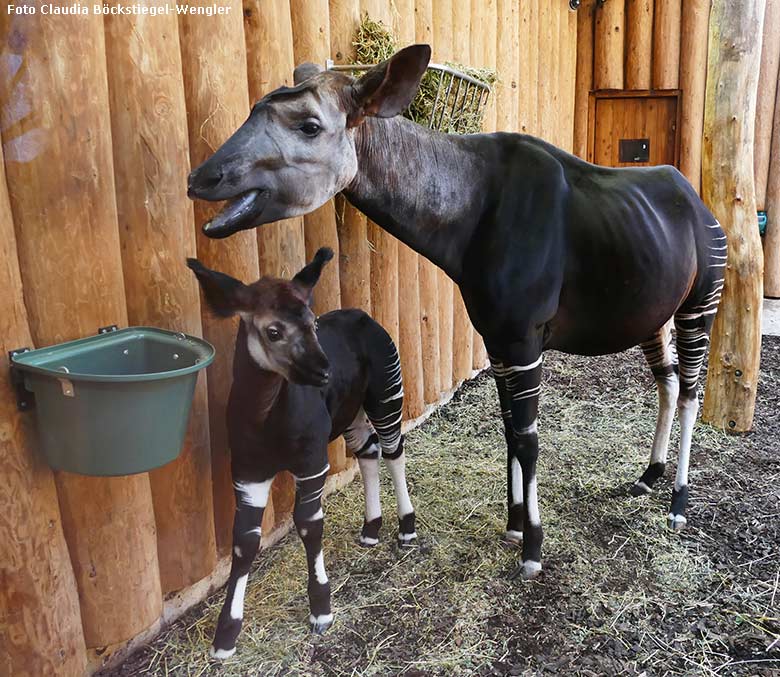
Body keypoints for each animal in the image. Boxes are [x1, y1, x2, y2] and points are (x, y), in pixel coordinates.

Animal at [186, 45, 728, 580]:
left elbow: (528, 439)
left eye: (309, 126)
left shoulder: (524, 340)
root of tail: (699, 202)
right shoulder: (497, 338)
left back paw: (678, 503)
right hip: (654, 312)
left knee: (691, 392)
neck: (471, 207)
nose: (201, 177)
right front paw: (513, 525)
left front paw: (532, 548)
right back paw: (648, 476)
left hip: (700, 302)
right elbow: (509, 428)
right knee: (668, 382)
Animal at [187, 248, 418, 656]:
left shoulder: (312, 464)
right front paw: (226, 634)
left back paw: (406, 528)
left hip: (385, 394)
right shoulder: (248, 472)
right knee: (369, 452)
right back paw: (371, 528)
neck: (265, 418)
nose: (324, 372)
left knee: (394, 449)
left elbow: (310, 525)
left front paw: (321, 609)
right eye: (273, 331)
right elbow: (244, 541)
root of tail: (364, 315)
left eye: (312, 323)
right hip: (350, 415)